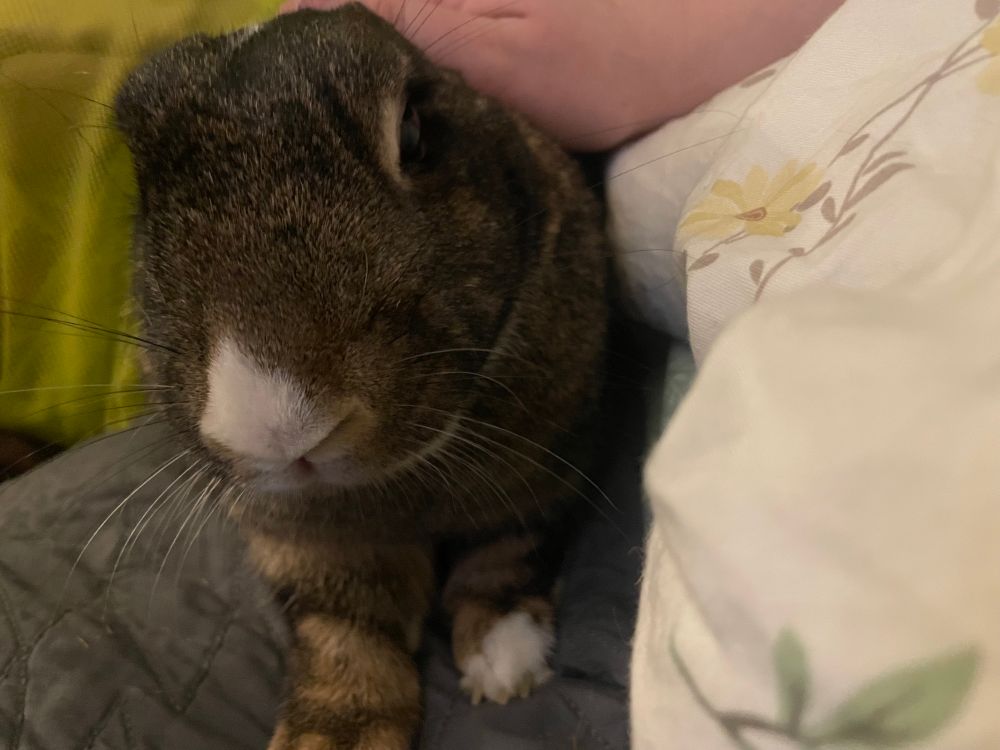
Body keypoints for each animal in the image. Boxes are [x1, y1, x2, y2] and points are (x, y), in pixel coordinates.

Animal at [114, 4, 608, 748]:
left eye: (415, 134)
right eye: (145, 198)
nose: (277, 430)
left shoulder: (549, 471)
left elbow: (507, 555)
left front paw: (504, 661)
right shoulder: (308, 543)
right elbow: (344, 628)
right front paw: (332, 736)